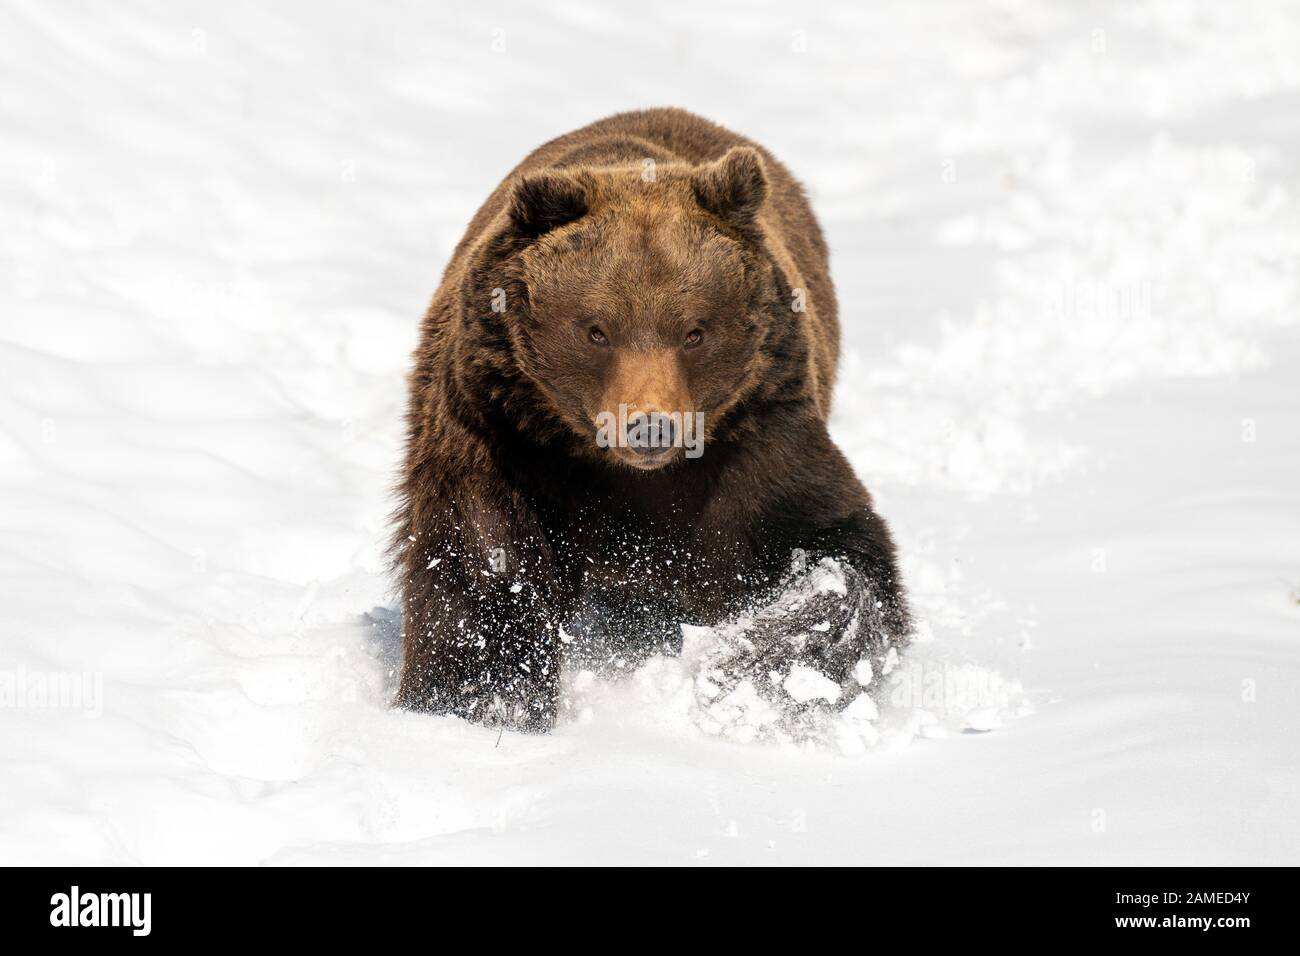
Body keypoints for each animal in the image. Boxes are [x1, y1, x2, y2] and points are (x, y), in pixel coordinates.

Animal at [390, 106, 909, 733]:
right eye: (596, 330)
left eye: (695, 331)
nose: (649, 426)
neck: (624, 476)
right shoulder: (505, 435)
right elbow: (484, 566)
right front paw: (474, 701)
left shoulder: (754, 440)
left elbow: (830, 546)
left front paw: (756, 675)